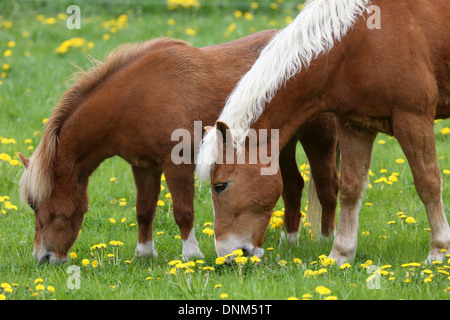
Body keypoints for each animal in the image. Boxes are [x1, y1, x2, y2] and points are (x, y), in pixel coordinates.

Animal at [19, 30, 340, 264]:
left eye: (34, 204)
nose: (42, 257)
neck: (138, 96)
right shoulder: (143, 166)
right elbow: (144, 209)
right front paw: (144, 254)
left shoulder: (178, 163)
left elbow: (183, 211)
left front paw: (191, 254)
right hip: (278, 144)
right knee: (293, 187)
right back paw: (290, 241)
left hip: (319, 138)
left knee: (327, 188)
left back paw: (326, 241)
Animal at [197, 0, 450, 264]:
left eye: (220, 185)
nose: (226, 255)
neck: (360, 39)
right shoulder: (355, 126)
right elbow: (350, 189)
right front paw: (340, 254)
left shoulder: (413, 119)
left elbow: (428, 184)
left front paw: (438, 251)